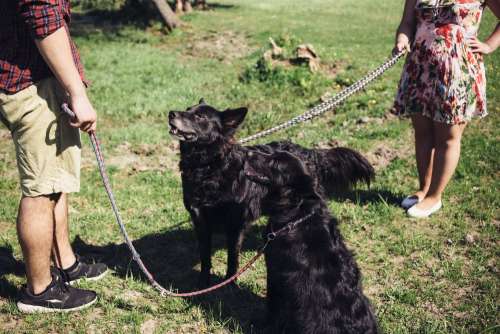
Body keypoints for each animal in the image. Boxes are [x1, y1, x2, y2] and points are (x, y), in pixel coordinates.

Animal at [170, 100, 374, 288]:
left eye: (200, 116)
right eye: (187, 109)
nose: (171, 113)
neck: (207, 166)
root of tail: (310, 153)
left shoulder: (235, 223)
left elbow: (232, 258)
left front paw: (229, 284)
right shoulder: (199, 220)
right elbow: (205, 256)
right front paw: (203, 283)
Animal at [244, 151, 376, 334]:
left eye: (274, 163)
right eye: (271, 154)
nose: (248, 152)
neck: (297, 215)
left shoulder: (274, 271)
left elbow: (272, 306)